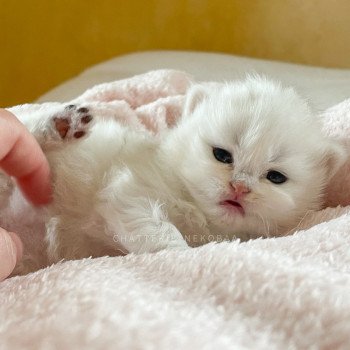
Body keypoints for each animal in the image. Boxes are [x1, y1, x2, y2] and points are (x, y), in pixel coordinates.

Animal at [2, 75, 346, 270]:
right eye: (222, 155)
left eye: (275, 177)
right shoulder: (130, 188)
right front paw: (178, 254)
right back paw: (60, 125)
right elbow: (158, 229)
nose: (239, 187)